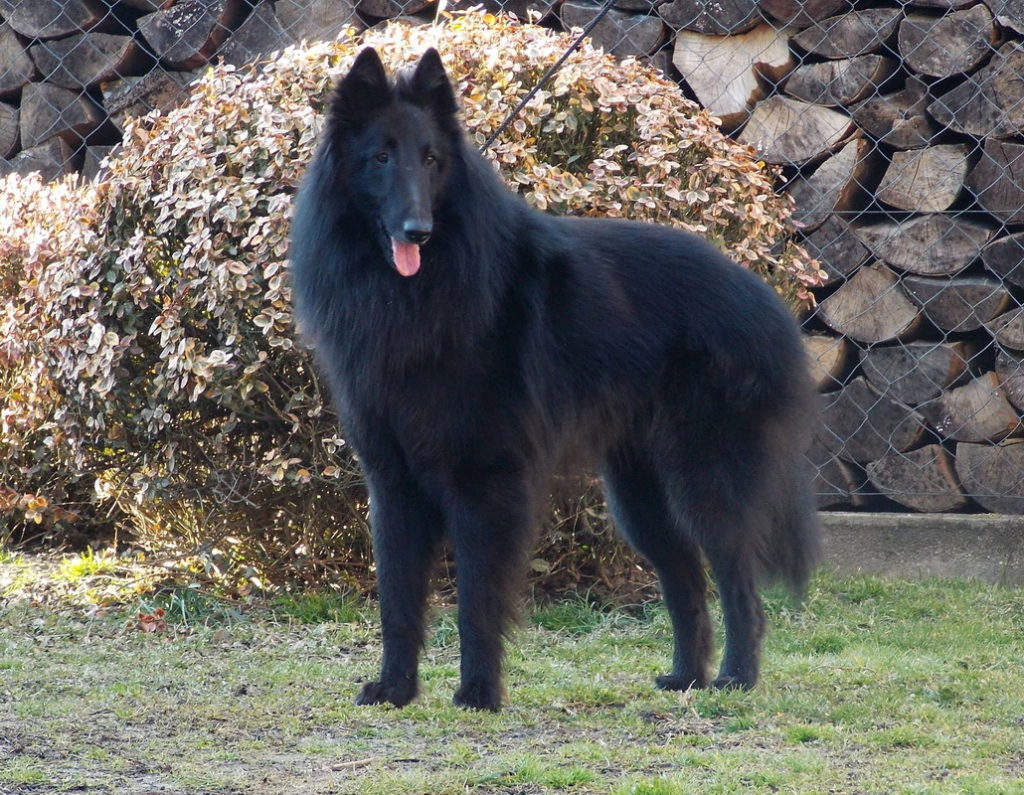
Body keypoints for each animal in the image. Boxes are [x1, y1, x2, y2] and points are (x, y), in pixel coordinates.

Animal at [292, 46, 819, 713]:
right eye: (380, 158)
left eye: (431, 160)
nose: (418, 231)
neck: (418, 295)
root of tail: (764, 296)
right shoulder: (392, 486)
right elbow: (397, 601)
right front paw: (395, 689)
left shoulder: (484, 483)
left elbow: (476, 602)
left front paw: (479, 693)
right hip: (636, 496)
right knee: (685, 578)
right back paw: (686, 677)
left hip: (705, 478)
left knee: (737, 581)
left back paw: (735, 679)